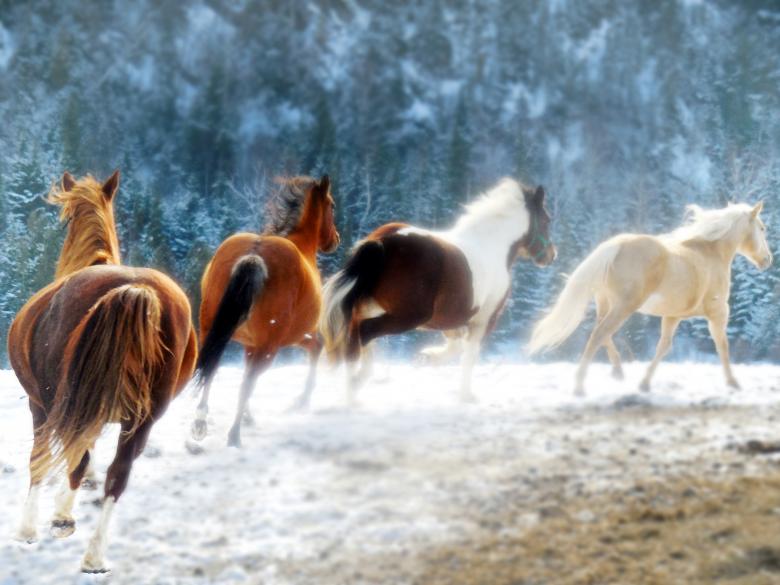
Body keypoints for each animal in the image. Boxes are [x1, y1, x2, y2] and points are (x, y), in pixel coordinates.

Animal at [8, 171, 197, 573]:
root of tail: (136, 287)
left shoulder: (41, 406)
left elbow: (41, 461)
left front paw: (30, 527)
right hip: (142, 418)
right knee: (117, 475)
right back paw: (94, 554)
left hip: (60, 404)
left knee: (70, 461)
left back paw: (63, 522)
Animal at [190, 175, 340, 446]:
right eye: (332, 205)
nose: (336, 238)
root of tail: (254, 255)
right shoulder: (299, 335)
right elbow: (317, 347)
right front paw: (303, 400)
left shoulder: (250, 344)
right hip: (270, 346)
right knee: (247, 382)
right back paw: (234, 436)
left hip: (211, 331)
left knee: (212, 368)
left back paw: (200, 423)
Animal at [319, 177, 556, 404]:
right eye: (546, 220)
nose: (551, 255)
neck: (494, 247)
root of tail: (382, 242)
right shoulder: (483, 321)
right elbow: (468, 355)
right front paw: (465, 395)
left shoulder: (449, 320)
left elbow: (455, 345)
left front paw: (427, 357)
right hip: (408, 316)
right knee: (364, 333)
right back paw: (355, 387)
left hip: (370, 307)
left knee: (354, 339)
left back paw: (351, 392)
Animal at [529, 202, 772, 395]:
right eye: (762, 228)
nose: (767, 260)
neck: (712, 253)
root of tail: (616, 245)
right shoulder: (718, 312)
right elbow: (722, 345)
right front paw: (733, 383)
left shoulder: (673, 316)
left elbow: (663, 347)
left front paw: (644, 384)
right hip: (624, 306)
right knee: (600, 333)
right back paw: (580, 386)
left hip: (606, 303)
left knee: (601, 331)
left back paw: (618, 372)